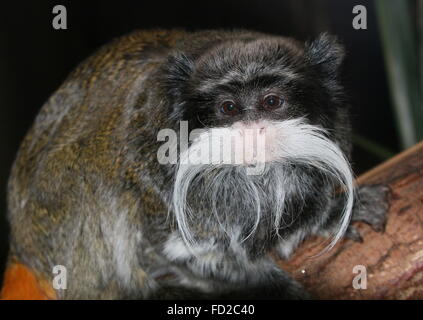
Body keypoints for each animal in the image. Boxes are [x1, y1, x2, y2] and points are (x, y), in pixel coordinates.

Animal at [4, 28, 390, 298]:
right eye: (228, 108)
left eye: (272, 102)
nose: (253, 133)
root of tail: (22, 247)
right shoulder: (155, 181)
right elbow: (172, 253)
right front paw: (272, 288)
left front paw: (331, 214)